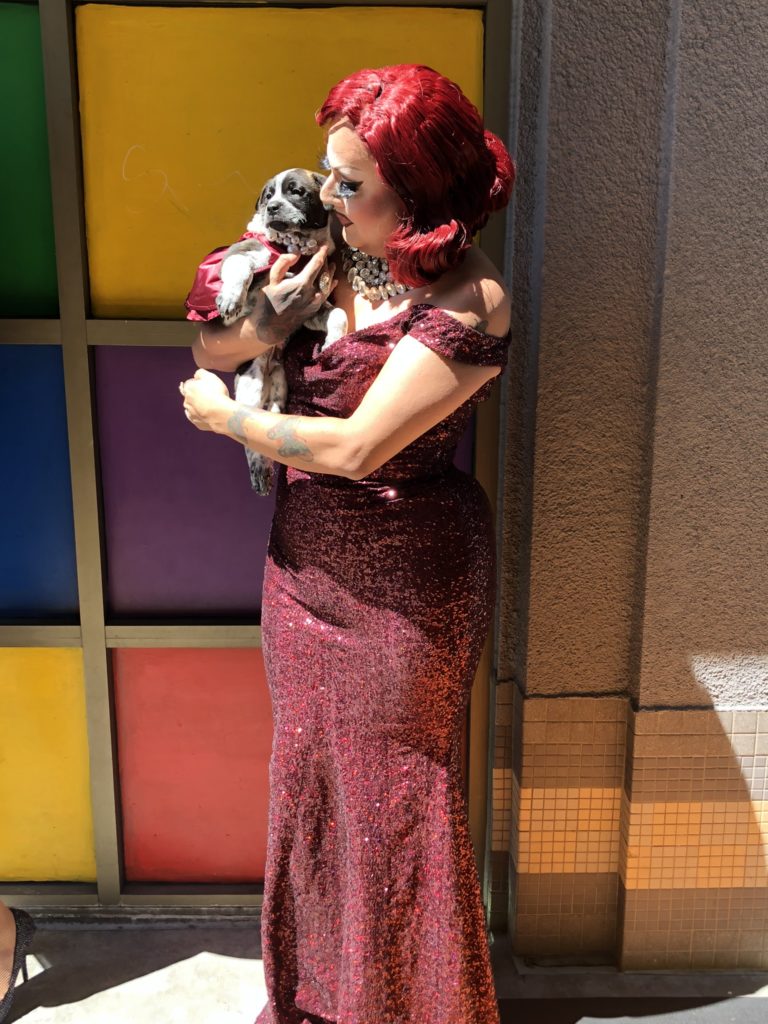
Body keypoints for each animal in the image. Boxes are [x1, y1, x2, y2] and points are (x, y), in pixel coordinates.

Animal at [215, 168, 350, 495]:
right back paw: (259, 473)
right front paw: (230, 299)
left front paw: (334, 341)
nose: (273, 207)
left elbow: (337, 314)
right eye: (268, 195)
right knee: (248, 439)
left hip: (278, 387)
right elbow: (239, 268)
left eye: (296, 191)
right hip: (249, 391)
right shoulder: (243, 252)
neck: (297, 247)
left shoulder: (311, 307)